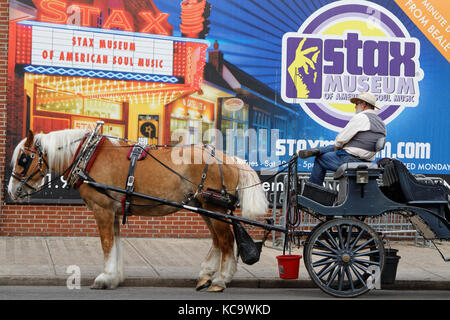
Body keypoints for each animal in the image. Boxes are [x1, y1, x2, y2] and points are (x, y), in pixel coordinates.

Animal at [7, 129, 268, 292]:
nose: (11, 190)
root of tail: (231, 159)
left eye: (23, 159)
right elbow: (115, 244)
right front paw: (114, 277)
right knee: (217, 241)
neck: (88, 156)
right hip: (205, 207)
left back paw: (221, 280)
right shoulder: (113, 211)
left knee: (226, 241)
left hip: (213, 207)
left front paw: (104, 278)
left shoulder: (102, 210)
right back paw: (206, 275)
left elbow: (106, 245)